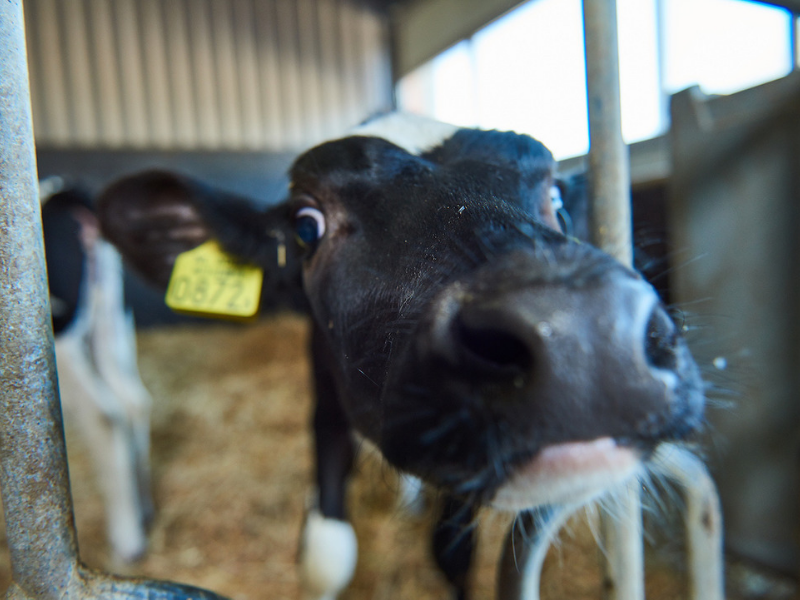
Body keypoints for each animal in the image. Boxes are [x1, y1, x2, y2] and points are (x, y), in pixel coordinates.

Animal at [95, 115, 705, 599]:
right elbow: (327, 554)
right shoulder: (326, 401)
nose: (583, 333)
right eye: (306, 226)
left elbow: (452, 553)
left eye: (556, 200)